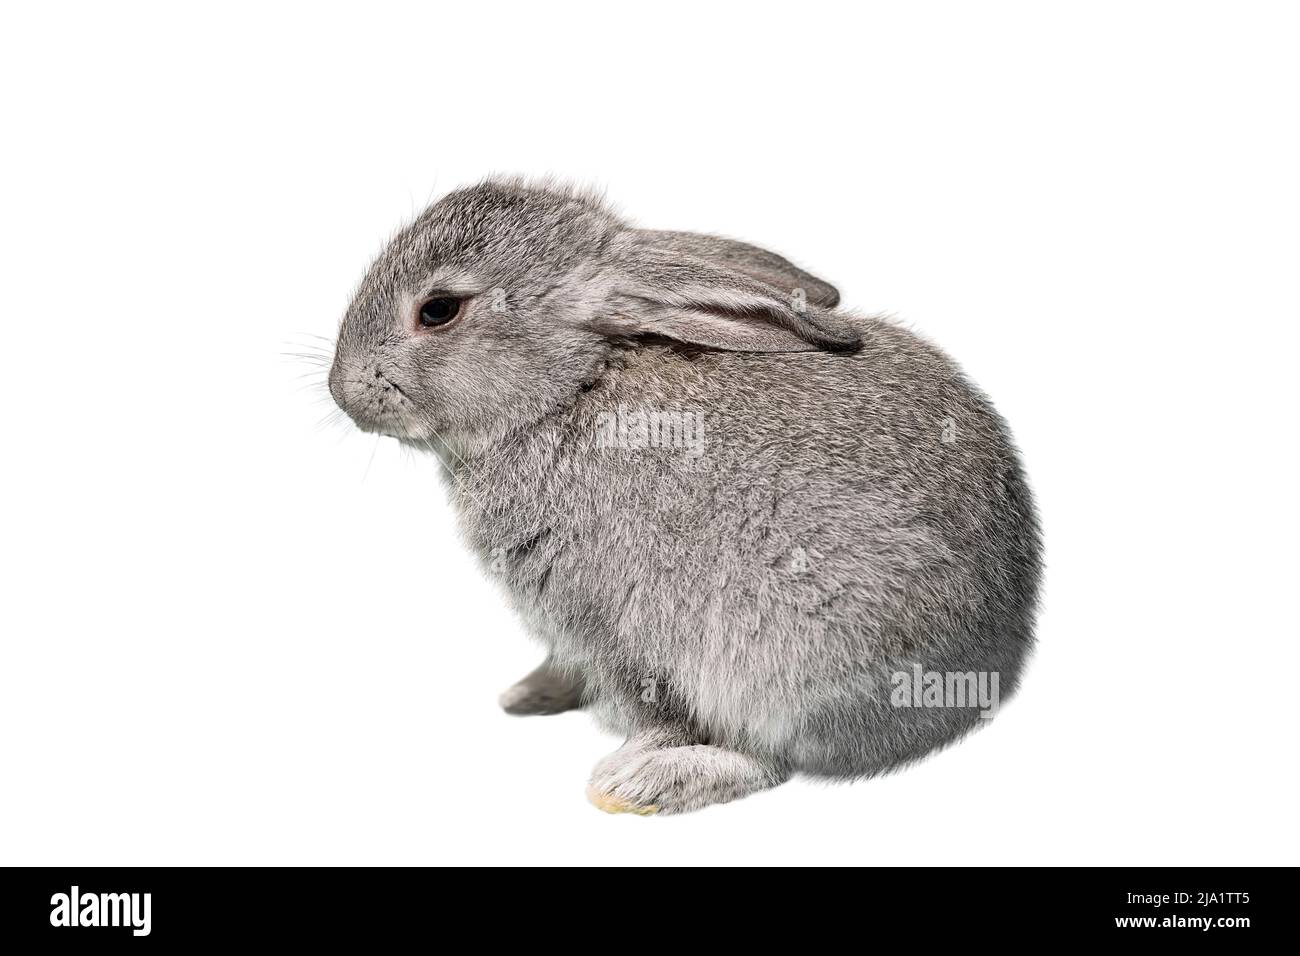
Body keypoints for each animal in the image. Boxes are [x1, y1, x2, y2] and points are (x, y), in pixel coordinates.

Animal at [328, 177, 1042, 815]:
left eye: (438, 309)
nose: (341, 389)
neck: (573, 386)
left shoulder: (611, 623)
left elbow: (656, 707)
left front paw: (631, 760)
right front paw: (530, 695)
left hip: (784, 657)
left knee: (772, 756)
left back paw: (644, 785)